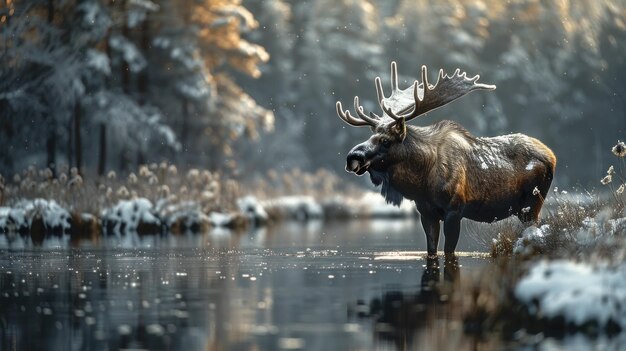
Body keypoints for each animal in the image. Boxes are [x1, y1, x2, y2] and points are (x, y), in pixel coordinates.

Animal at [336, 62, 556, 256]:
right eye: (371, 136)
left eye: (385, 140)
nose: (352, 157)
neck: (421, 182)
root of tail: (552, 156)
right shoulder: (426, 212)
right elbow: (432, 250)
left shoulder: (454, 209)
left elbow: (449, 251)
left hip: (532, 204)